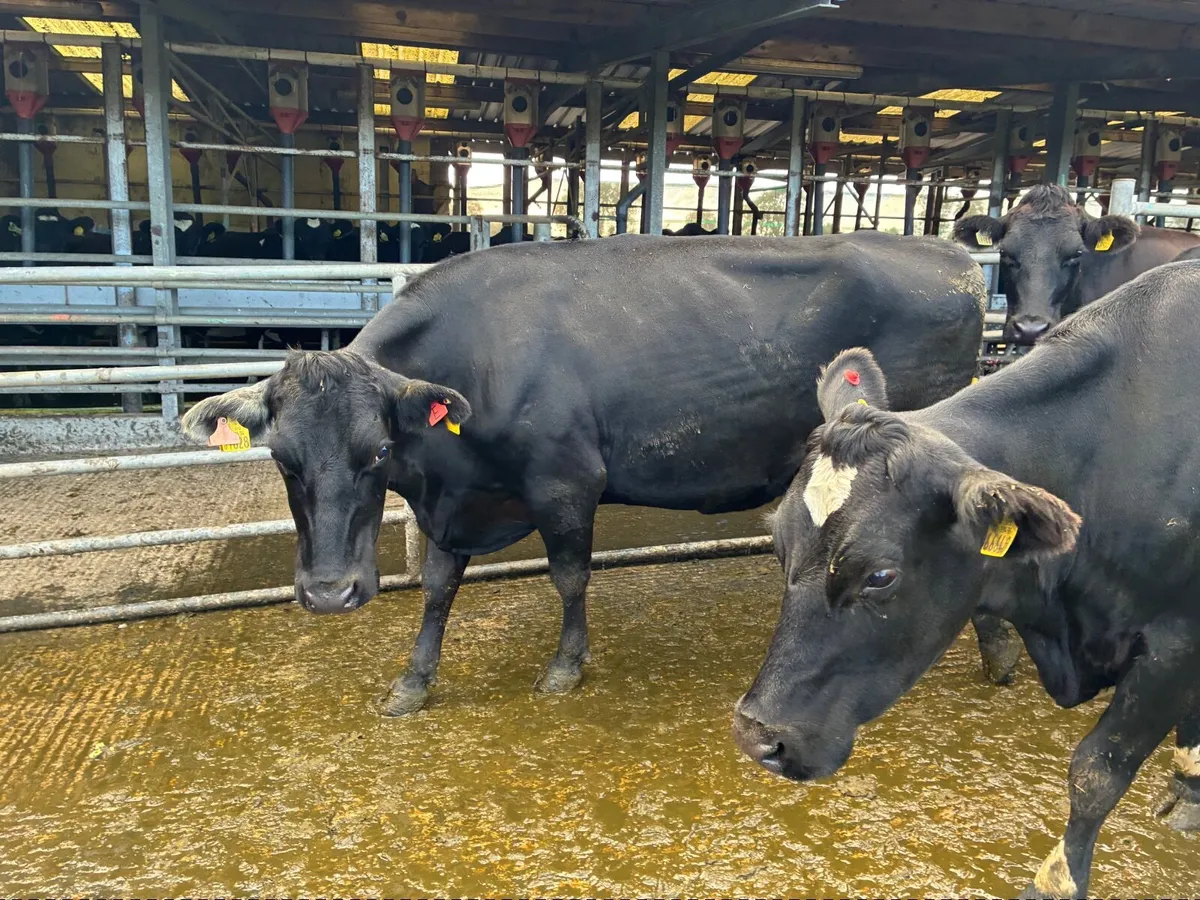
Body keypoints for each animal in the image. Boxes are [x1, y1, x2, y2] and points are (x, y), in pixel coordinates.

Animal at [179, 231, 986, 717]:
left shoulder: (565, 482)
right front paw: (414, 681)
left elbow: (569, 576)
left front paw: (566, 667)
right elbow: (438, 588)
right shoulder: (454, 502)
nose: (329, 594)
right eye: (282, 458)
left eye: (376, 451)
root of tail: (952, 258)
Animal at [732, 262, 1200, 897]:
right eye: (779, 543)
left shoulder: (1176, 641)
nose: (757, 735)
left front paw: (1056, 879)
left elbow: (1097, 770)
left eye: (880, 575)